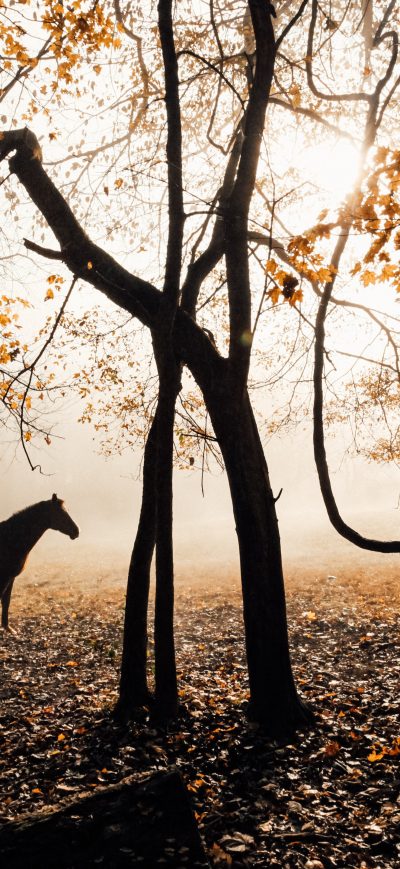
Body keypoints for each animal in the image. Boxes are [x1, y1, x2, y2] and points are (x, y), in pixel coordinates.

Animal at [0, 494, 79, 631]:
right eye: (61, 513)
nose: (76, 531)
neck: (10, 539)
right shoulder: (4, 577)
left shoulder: (11, 577)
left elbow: (6, 601)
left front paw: (8, 628)